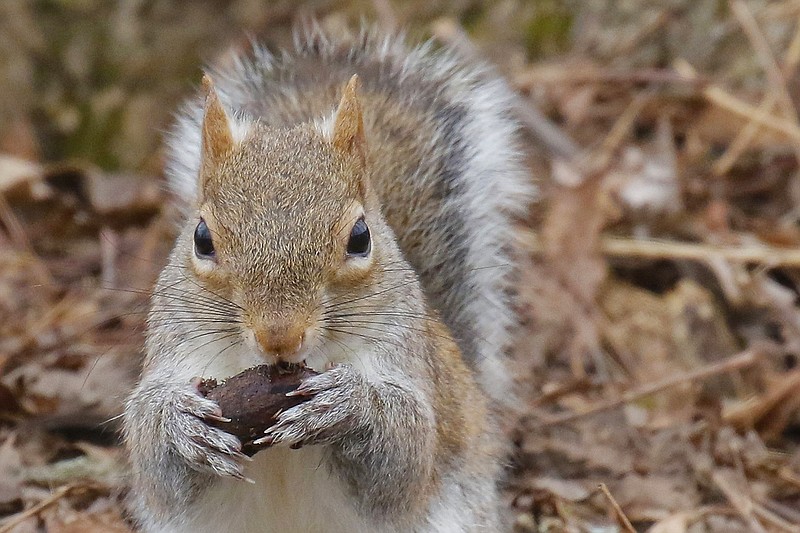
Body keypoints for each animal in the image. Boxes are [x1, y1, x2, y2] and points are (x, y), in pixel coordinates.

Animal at [123, 25, 532, 532]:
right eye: (202, 239)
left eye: (360, 237)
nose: (279, 335)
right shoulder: (172, 351)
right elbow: (152, 455)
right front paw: (179, 424)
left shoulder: (410, 360)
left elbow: (405, 454)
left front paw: (349, 407)